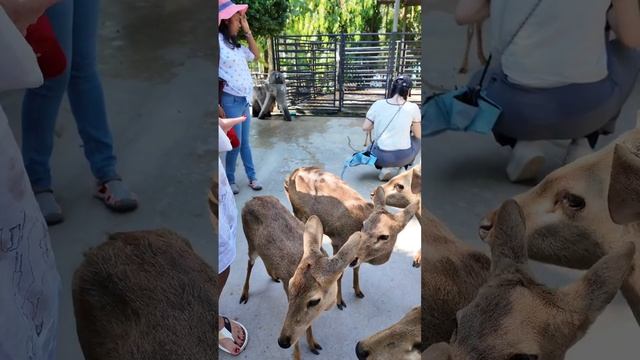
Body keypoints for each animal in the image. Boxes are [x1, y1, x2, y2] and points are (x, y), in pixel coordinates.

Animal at [239, 197, 362, 360]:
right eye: (290, 286)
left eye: (314, 300)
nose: (282, 341)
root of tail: (248, 202)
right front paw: (297, 355)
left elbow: (307, 324)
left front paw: (313, 344)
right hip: (250, 244)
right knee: (249, 264)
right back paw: (244, 294)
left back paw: (273, 275)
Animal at [284, 167, 420, 310]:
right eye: (364, 225)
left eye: (384, 236)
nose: (353, 258)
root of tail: (290, 176)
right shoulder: (338, 241)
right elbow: (339, 275)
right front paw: (340, 301)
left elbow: (357, 268)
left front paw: (358, 291)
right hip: (300, 213)